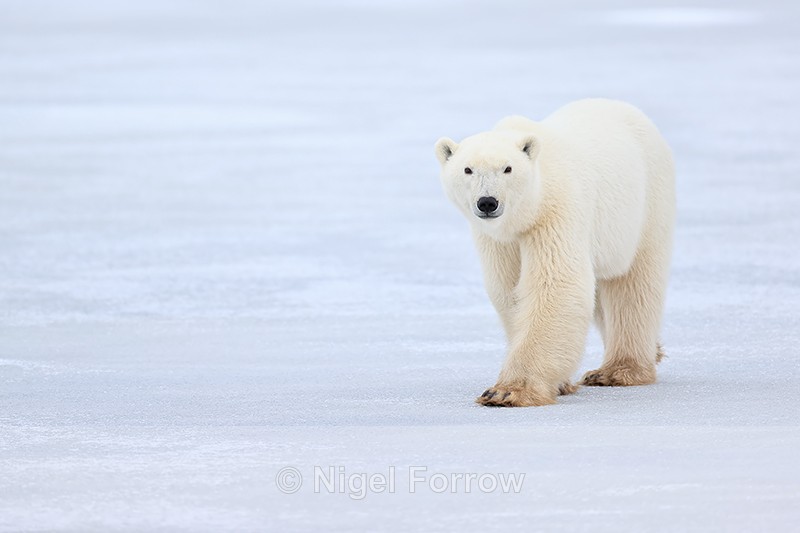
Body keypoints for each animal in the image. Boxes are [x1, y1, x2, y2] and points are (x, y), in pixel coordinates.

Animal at [434, 98, 675, 407]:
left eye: (508, 168)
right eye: (468, 169)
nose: (487, 202)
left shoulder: (556, 212)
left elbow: (556, 285)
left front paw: (506, 391)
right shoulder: (499, 240)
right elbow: (509, 290)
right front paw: (559, 383)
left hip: (644, 207)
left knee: (633, 285)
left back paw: (619, 370)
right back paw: (652, 351)